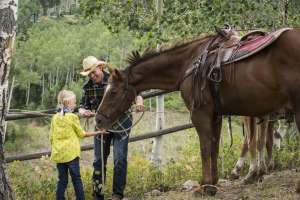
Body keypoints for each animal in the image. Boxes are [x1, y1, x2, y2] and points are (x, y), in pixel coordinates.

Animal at [95, 28, 300, 194]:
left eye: (113, 92)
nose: (98, 119)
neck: (189, 64)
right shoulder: (216, 115)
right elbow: (214, 147)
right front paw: (213, 183)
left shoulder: (200, 114)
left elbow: (205, 148)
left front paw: (206, 186)